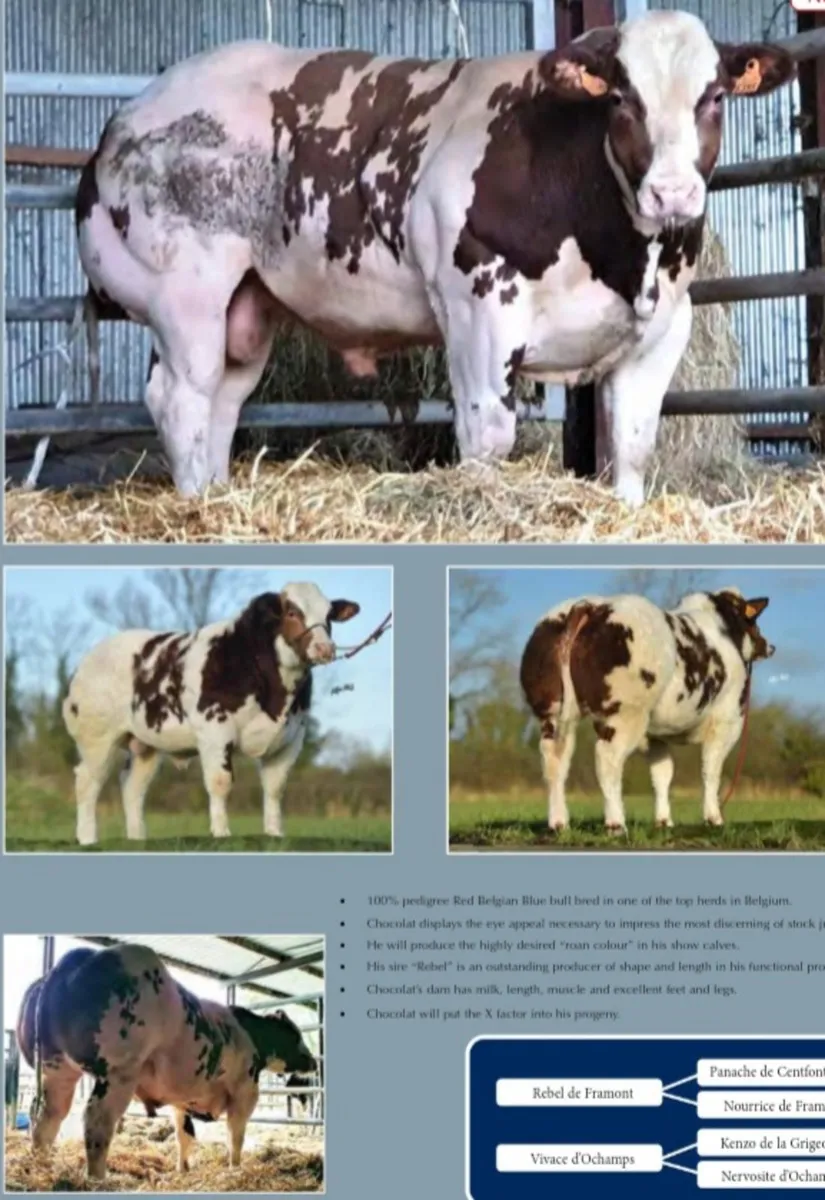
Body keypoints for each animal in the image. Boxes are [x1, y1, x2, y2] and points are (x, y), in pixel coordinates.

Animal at [16, 943, 316, 1179]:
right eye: (296, 1034)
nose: (314, 1062)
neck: (246, 1034)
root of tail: (75, 957)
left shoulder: (182, 1100)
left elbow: (184, 1136)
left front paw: (182, 1170)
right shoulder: (244, 1092)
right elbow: (235, 1136)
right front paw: (235, 1169)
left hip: (57, 1072)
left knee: (46, 1120)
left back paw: (41, 1166)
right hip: (118, 1073)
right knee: (96, 1123)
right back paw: (97, 1179)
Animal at [62, 582, 359, 844]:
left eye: (328, 615)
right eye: (292, 612)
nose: (325, 649)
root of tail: (91, 657)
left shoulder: (291, 738)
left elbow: (275, 788)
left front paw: (274, 833)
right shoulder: (215, 732)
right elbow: (221, 782)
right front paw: (221, 833)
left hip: (146, 745)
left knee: (131, 787)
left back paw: (137, 839)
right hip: (97, 738)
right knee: (87, 781)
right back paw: (88, 839)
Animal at [75, 13, 794, 504]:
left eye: (714, 97)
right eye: (621, 98)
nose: (671, 193)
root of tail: (125, 119)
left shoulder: (664, 325)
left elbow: (635, 444)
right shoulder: (479, 307)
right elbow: (488, 437)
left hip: (245, 307)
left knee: (222, 399)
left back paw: (222, 495)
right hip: (184, 294)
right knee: (180, 397)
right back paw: (197, 503)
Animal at [519, 587, 775, 832]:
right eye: (754, 622)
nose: (770, 646)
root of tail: (589, 604)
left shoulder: (654, 735)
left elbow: (662, 773)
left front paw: (663, 821)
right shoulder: (727, 720)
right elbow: (711, 770)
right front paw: (714, 818)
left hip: (550, 713)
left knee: (554, 761)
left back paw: (559, 823)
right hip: (625, 714)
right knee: (607, 760)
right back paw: (616, 823)